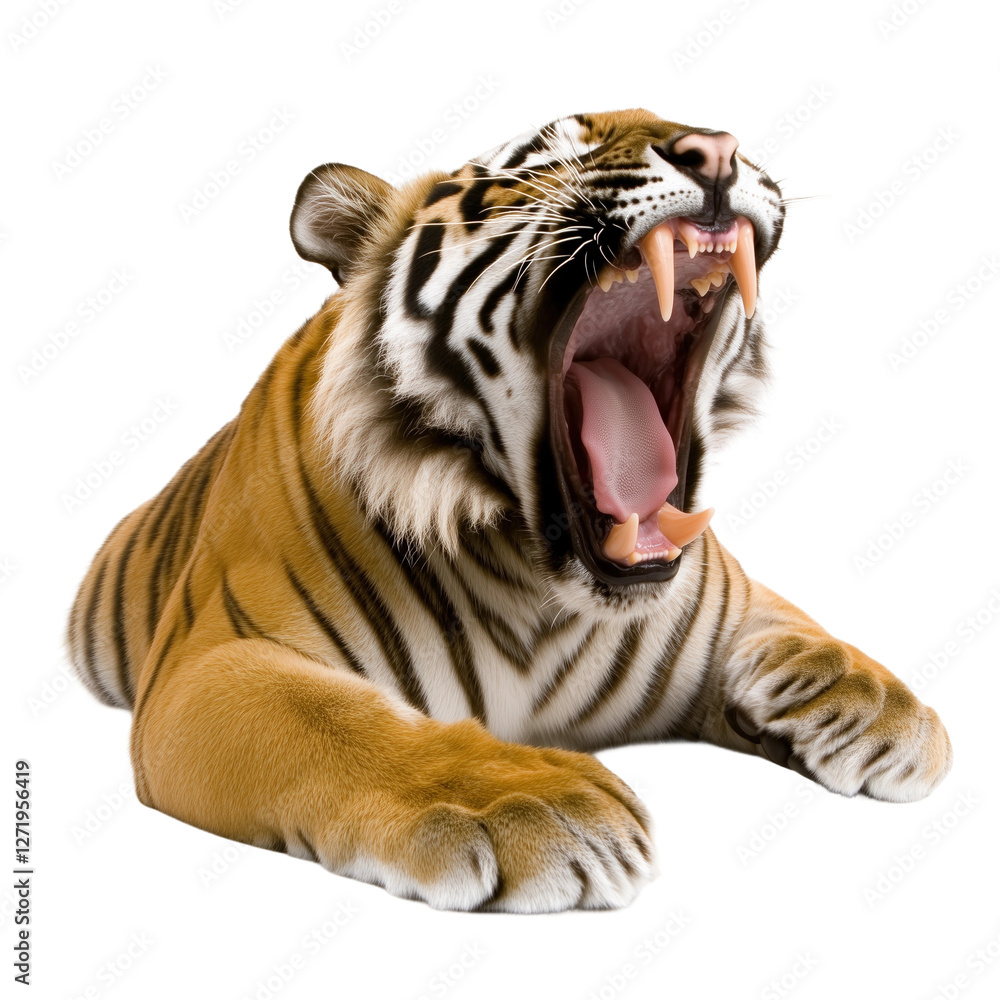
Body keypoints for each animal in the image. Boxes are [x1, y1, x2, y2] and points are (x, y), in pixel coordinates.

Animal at [67, 109, 952, 913]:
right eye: (556, 148)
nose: (717, 151)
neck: (537, 581)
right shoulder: (211, 663)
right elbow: (335, 722)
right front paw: (528, 802)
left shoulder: (713, 590)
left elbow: (793, 624)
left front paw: (878, 708)